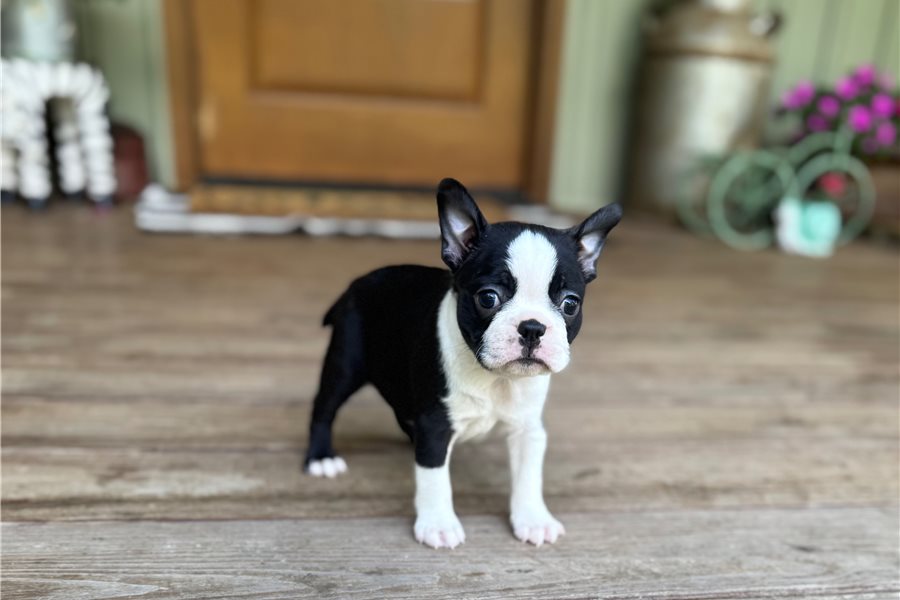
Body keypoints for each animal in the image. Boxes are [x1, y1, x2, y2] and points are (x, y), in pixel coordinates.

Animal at [304, 178, 621, 549]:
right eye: (488, 298)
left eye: (570, 304)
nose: (532, 327)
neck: (498, 379)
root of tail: (357, 282)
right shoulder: (435, 426)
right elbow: (434, 478)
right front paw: (438, 524)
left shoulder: (528, 429)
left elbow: (529, 476)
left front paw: (533, 519)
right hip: (346, 362)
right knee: (324, 406)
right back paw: (321, 457)